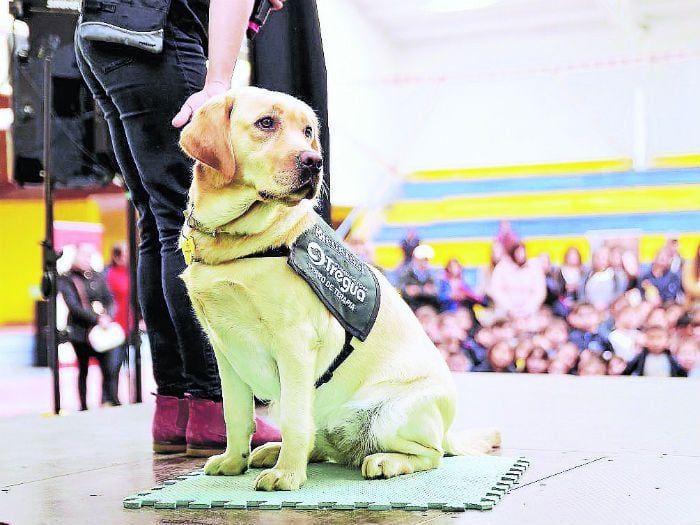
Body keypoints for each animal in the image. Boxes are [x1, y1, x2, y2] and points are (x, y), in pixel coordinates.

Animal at [178, 87, 500, 492]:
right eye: (266, 123)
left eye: (308, 131)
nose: (314, 161)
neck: (236, 241)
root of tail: (448, 431)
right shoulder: (225, 350)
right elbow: (235, 415)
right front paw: (233, 462)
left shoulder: (295, 343)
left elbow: (295, 420)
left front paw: (287, 475)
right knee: (320, 440)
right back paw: (273, 451)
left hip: (392, 414)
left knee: (431, 455)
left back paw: (384, 461)